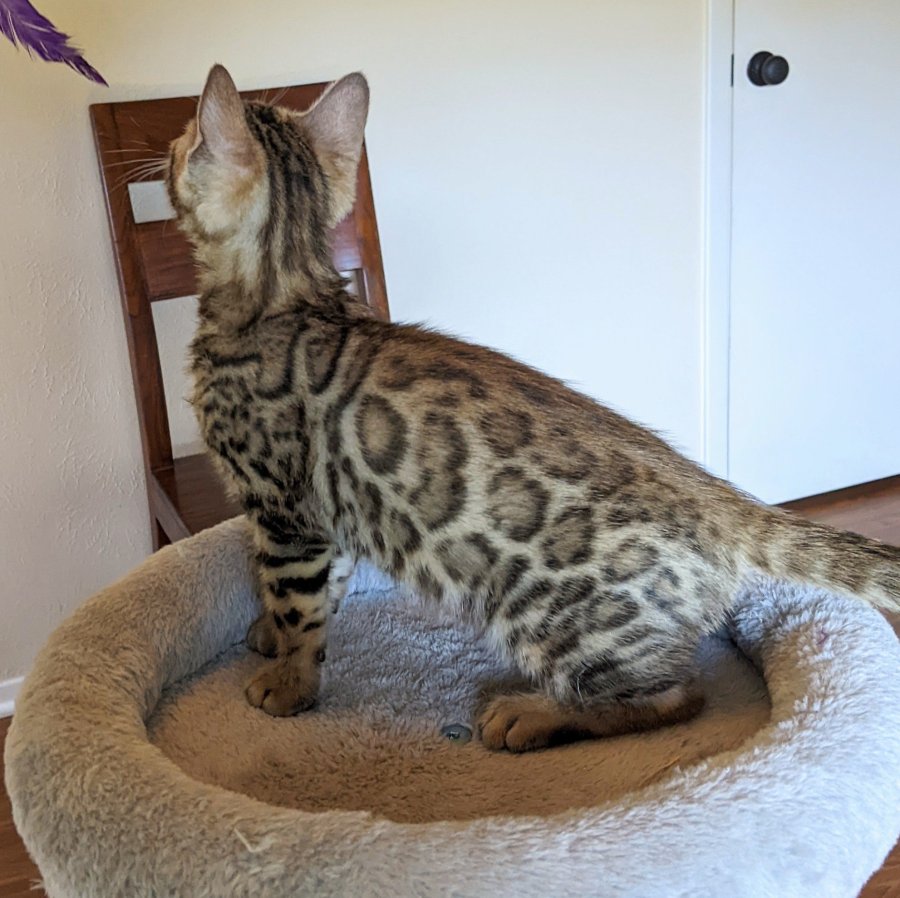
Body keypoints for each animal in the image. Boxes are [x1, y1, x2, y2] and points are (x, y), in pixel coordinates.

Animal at [167, 64, 900, 752]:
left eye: (181, 140)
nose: (167, 149)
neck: (283, 293)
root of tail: (721, 501)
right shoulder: (327, 512)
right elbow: (327, 585)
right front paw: (267, 634)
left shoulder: (284, 509)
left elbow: (299, 602)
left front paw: (289, 680)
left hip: (552, 614)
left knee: (676, 697)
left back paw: (533, 714)